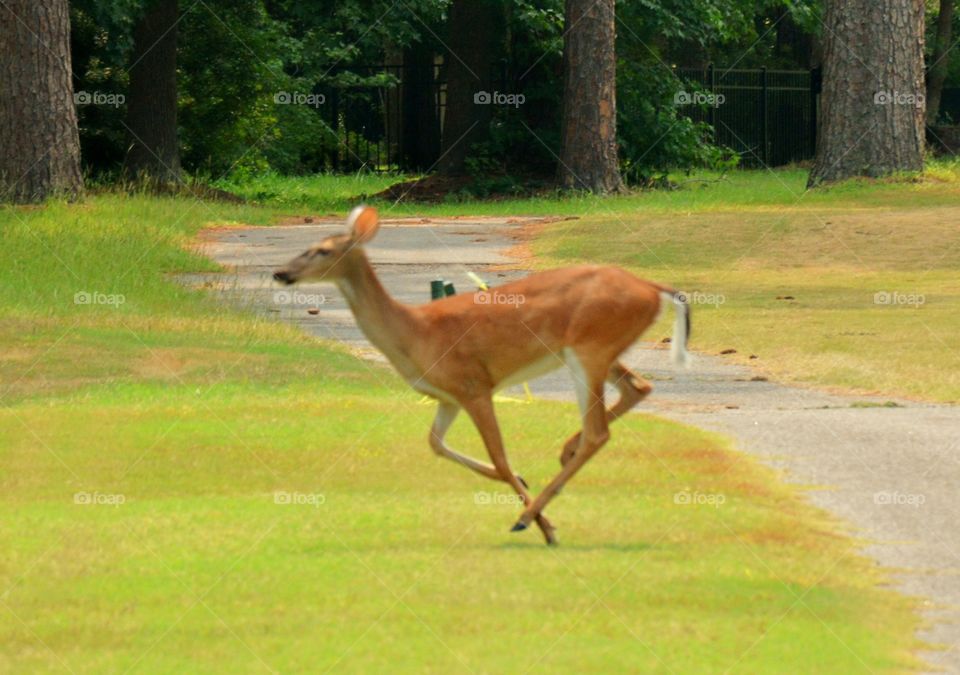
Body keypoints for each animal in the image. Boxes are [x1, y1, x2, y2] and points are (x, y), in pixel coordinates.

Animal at [272, 206, 688, 544]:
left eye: (323, 250)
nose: (280, 273)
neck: (414, 333)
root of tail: (654, 288)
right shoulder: (448, 397)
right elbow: (435, 444)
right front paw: (526, 484)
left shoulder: (474, 385)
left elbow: (499, 457)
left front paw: (546, 527)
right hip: (600, 350)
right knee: (637, 389)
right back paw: (562, 456)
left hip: (589, 347)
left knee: (598, 431)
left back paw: (526, 517)